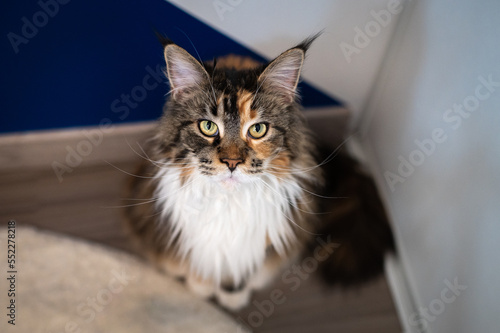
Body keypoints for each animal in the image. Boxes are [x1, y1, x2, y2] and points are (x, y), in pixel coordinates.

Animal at [124, 33, 394, 308]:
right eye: (208, 126)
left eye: (258, 129)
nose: (232, 162)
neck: (229, 203)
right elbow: (201, 262)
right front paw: (201, 286)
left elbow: (242, 270)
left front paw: (233, 297)